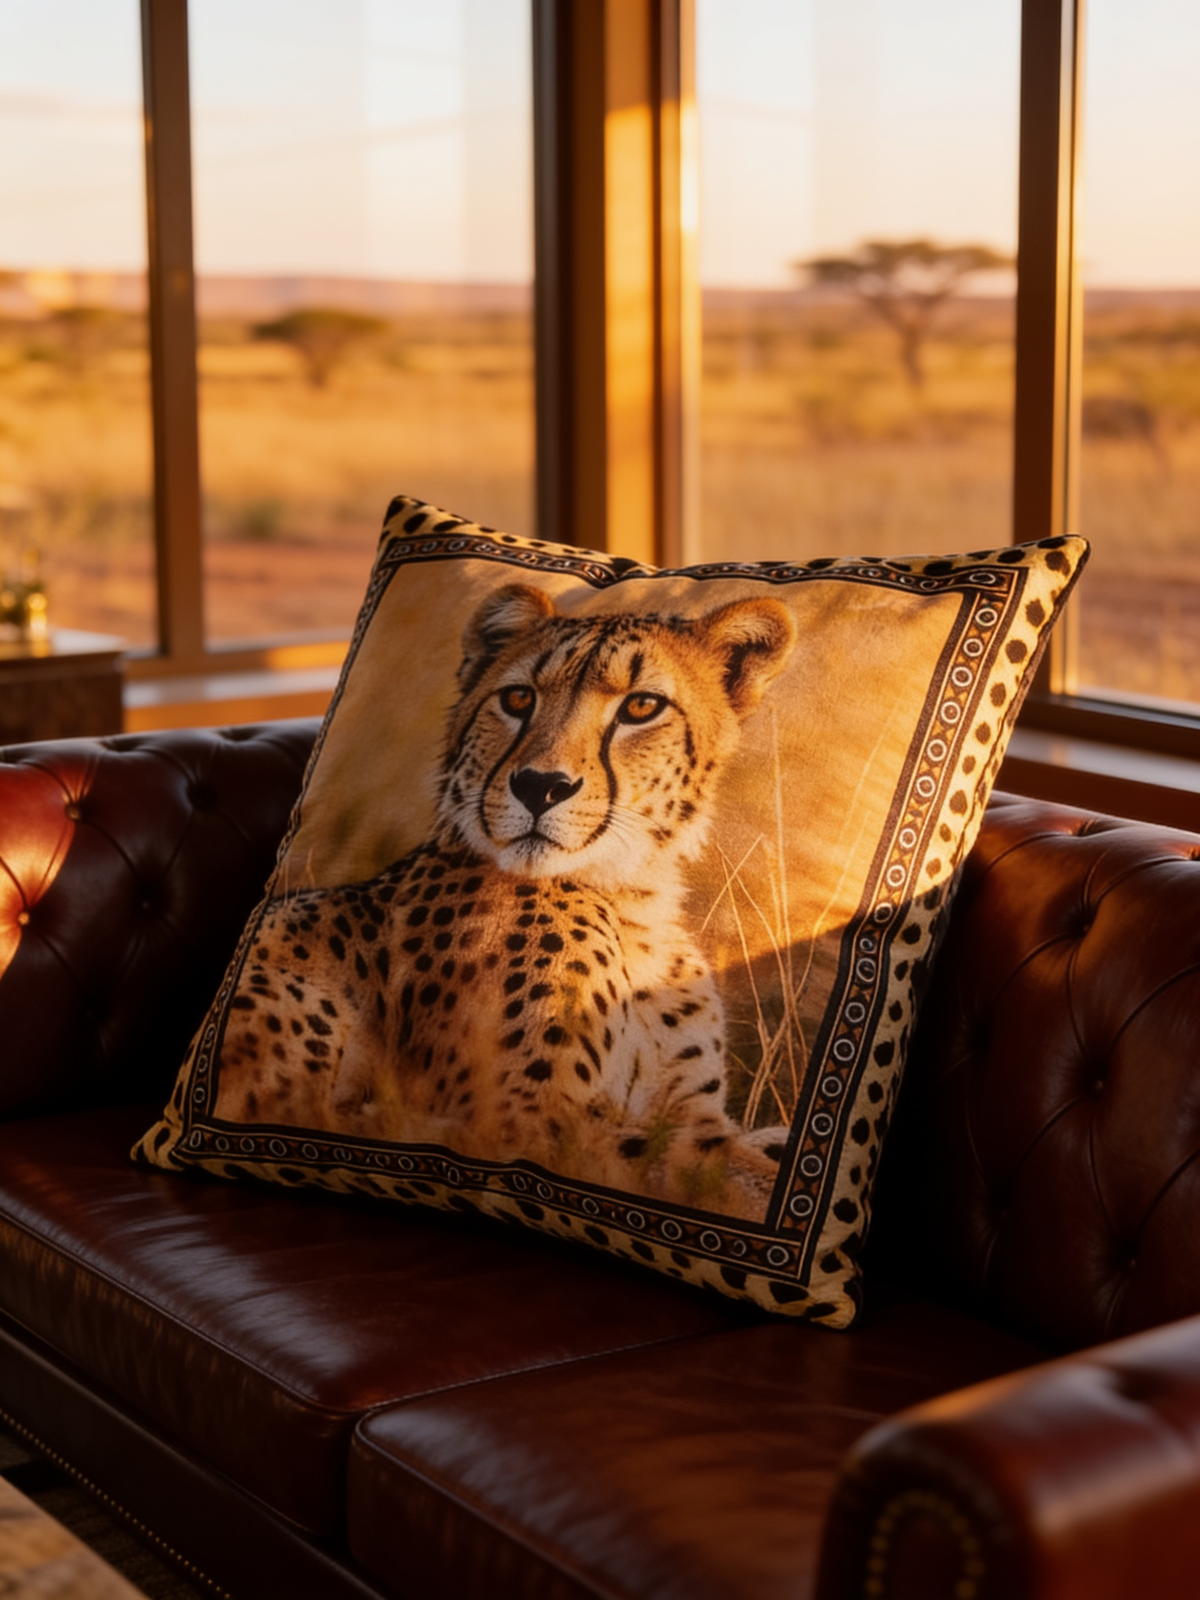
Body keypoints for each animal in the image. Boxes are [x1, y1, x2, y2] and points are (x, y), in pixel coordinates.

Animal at [214, 582, 797, 1216]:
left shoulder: (686, 1112)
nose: (540, 786)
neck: (630, 899)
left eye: (642, 707)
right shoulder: (517, 1121)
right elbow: (702, 1166)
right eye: (518, 698)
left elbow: (733, 1152)